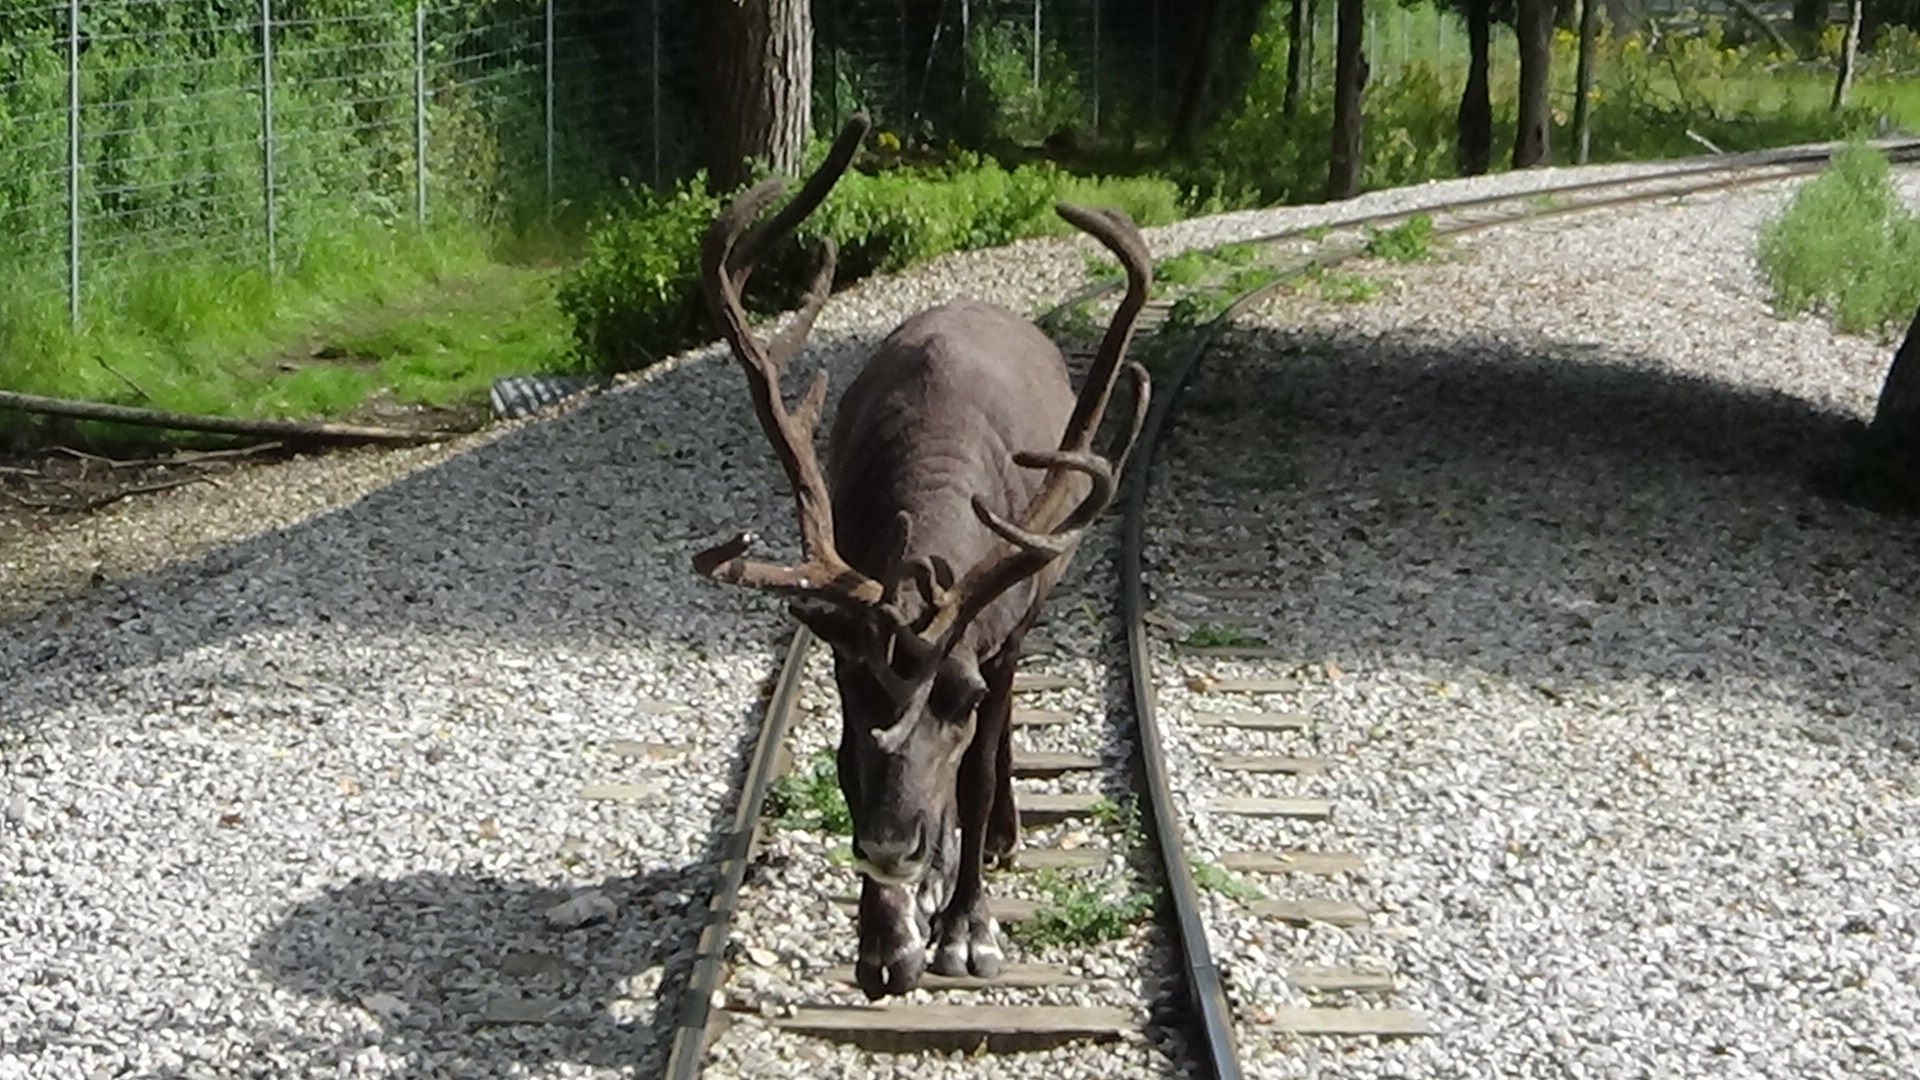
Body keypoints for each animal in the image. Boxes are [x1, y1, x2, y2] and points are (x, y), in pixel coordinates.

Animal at [691, 114, 1152, 999]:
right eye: (854, 682)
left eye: (958, 696)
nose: (891, 842)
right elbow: (845, 764)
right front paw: (884, 938)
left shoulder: (992, 652)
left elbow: (973, 774)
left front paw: (966, 926)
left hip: (1024, 621)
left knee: (998, 754)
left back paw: (992, 840)